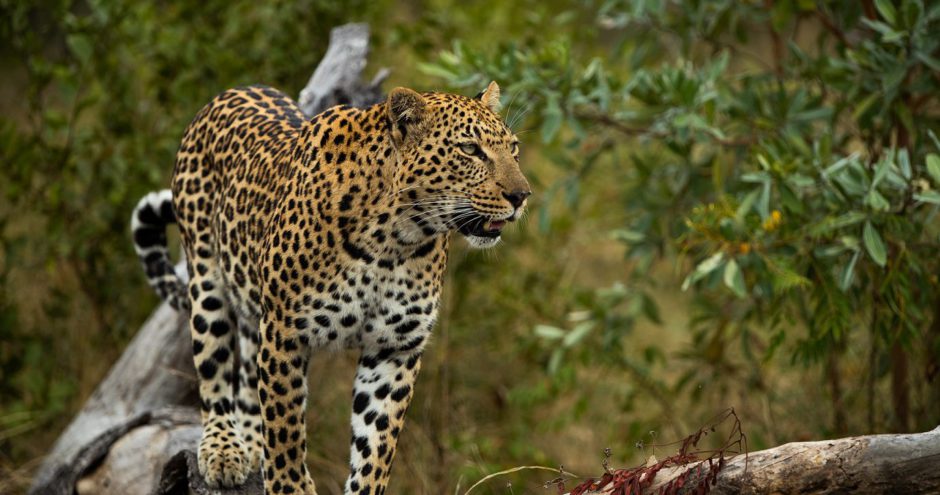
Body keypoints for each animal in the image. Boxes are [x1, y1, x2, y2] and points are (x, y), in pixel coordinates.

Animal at [131, 82, 528, 495]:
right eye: (470, 150)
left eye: (513, 148)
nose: (522, 196)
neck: (394, 241)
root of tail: (234, 90)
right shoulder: (284, 333)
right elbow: (285, 429)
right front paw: (288, 486)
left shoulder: (395, 348)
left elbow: (376, 445)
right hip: (207, 279)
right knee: (214, 366)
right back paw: (223, 450)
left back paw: (252, 444)